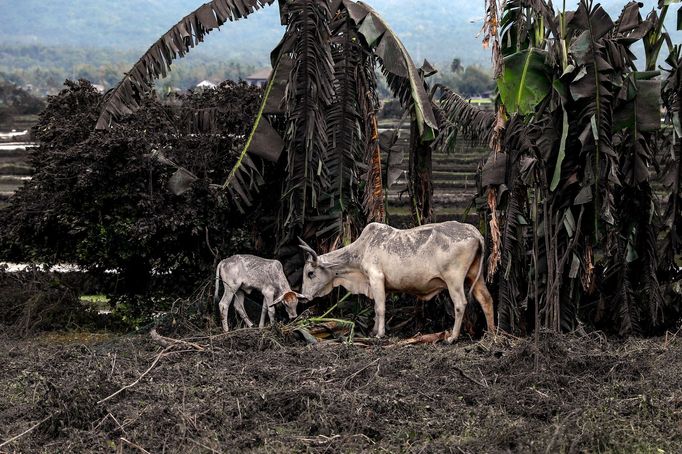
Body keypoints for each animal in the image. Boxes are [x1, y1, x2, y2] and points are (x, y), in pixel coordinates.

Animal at [298, 222, 494, 342]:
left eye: (310, 273)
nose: (303, 297)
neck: (361, 250)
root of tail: (474, 232)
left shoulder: (376, 278)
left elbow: (380, 308)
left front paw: (379, 334)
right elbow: (376, 308)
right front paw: (373, 331)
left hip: (454, 279)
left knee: (460, 304)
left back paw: (452, 337)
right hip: (475, 277)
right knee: (486, 299)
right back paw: (491, 333)